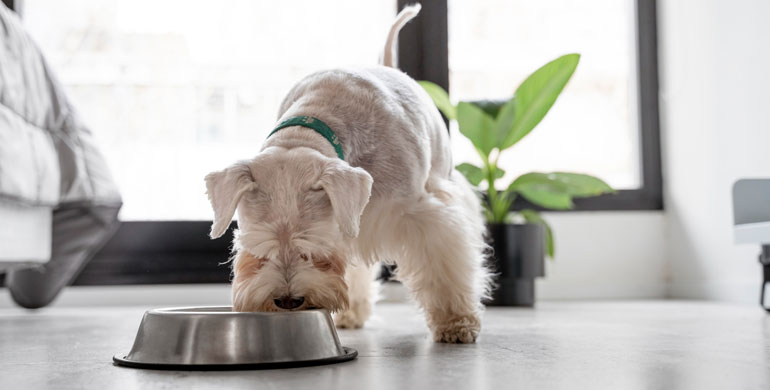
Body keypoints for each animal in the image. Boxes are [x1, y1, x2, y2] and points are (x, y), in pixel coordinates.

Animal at [204, 4, 488, 342]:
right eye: (258, 249)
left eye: (313, 247)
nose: (288, 300)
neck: (312, 124)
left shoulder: (422, 215)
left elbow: (442, 265)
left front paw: (456, 322)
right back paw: (351, 313)